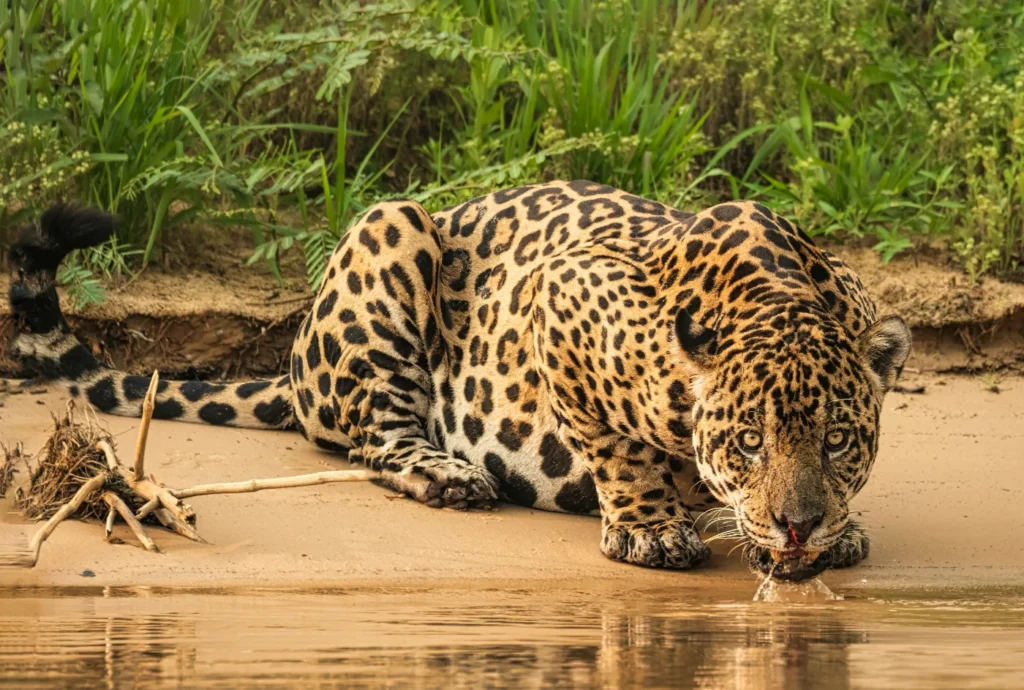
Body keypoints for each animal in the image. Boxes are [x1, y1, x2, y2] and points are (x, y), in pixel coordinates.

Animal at [6, 180, 911, 581]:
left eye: (838, 441)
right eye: (749, 442)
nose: (797, 526)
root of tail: (294, 360)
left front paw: (837, 530)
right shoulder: (564, 292)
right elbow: (618, 448)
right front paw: (651, 528)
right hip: (390, 229)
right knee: (376, 439)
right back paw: (450, 474)